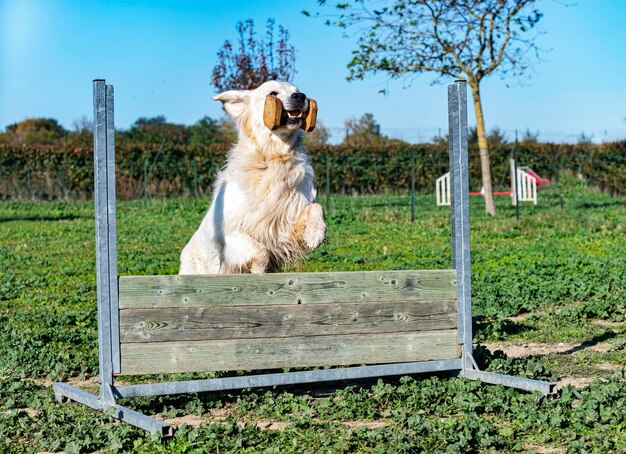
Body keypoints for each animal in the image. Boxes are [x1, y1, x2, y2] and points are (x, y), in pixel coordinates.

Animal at [179, 80, 326, 274]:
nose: (300, 96)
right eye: (273, 93)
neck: (273, 159)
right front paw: (257, 270)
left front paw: (315, 234)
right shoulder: (227, 234)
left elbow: (317, 207)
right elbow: (259, 249)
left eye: (297, 90)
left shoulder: (286, 222)